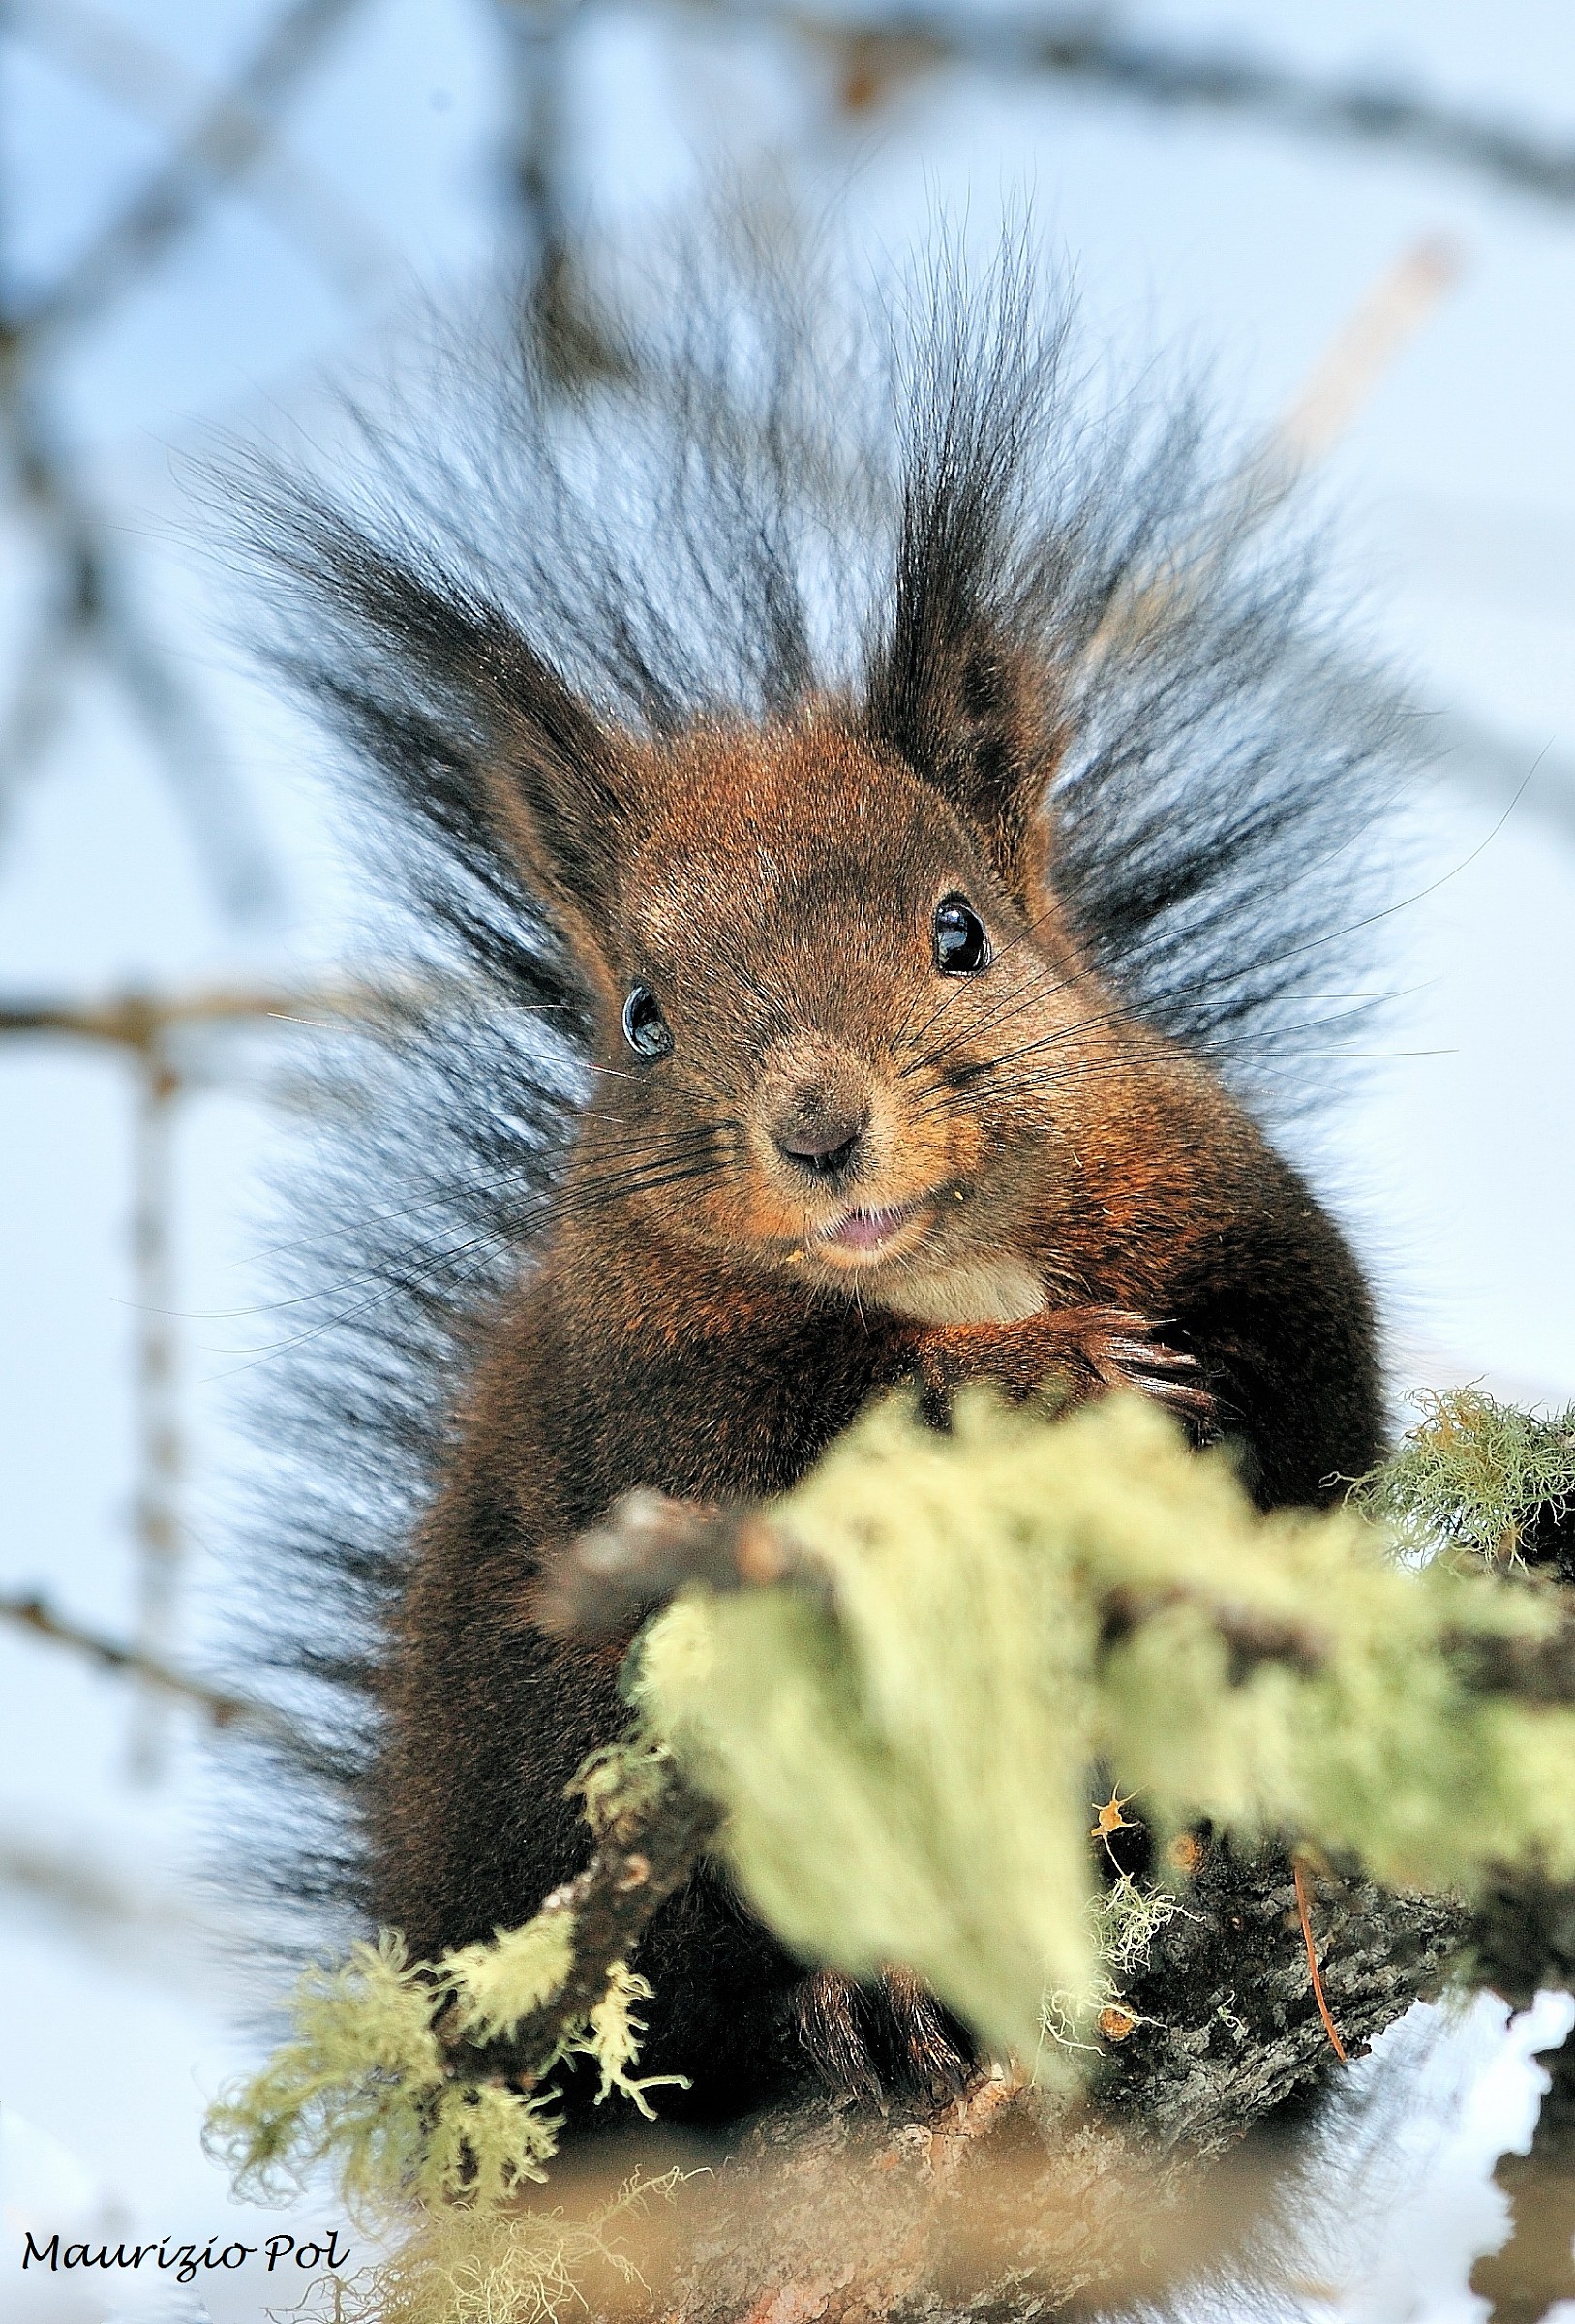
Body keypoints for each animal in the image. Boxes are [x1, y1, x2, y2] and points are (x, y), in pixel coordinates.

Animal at [235, 244, 1402, 2134]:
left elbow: (1312, 1413)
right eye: (639, 1016)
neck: (938, 1272)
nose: (815, 1124)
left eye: (959, 929)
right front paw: (1031, 1380)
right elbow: (771, 1462)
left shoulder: (1245, 1229)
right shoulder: (632, 1404)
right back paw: (856, 2010)